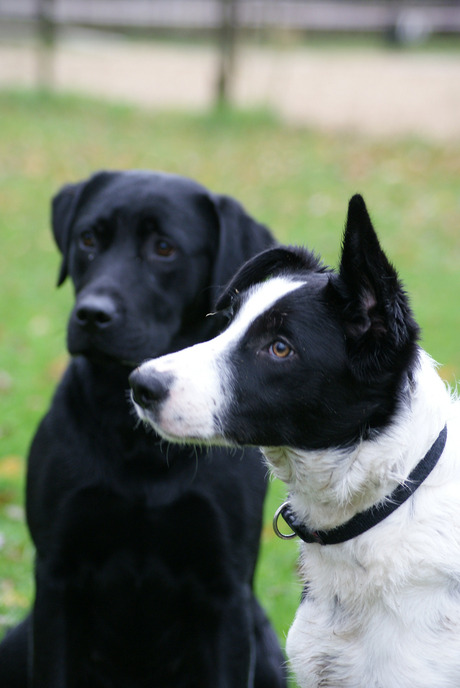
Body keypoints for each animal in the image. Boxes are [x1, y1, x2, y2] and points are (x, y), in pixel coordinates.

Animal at [0, 172, 286, 688]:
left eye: (164, 248)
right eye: (88, 239)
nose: (92, 315)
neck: (138, 441)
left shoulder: (226, 589)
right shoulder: (55, 577)